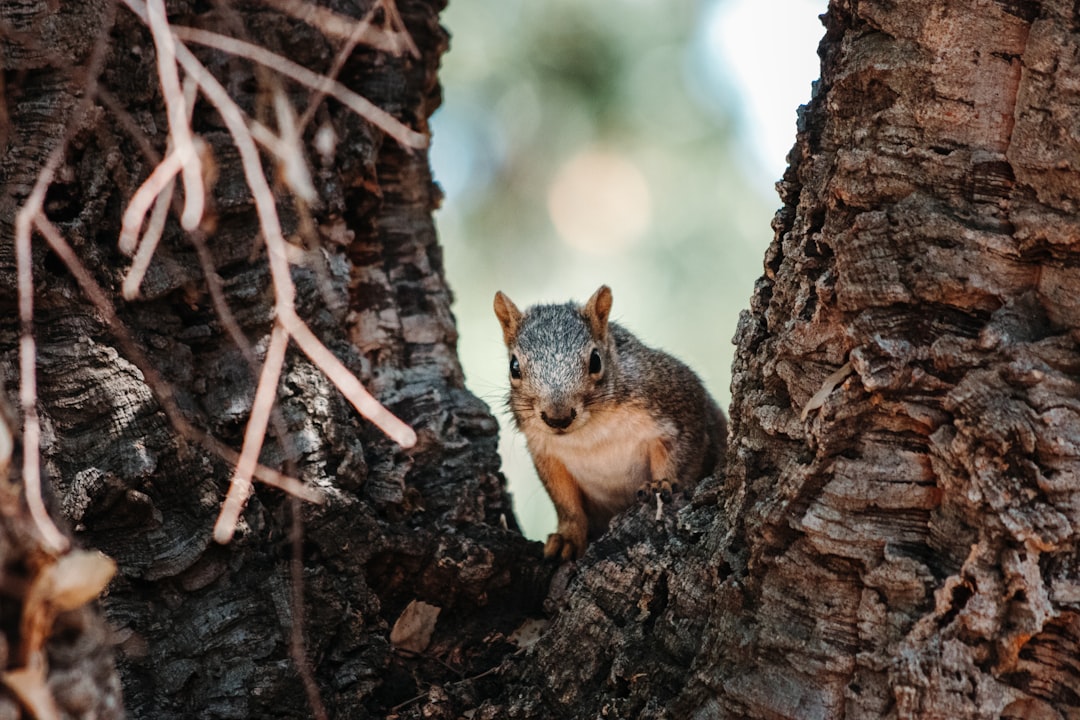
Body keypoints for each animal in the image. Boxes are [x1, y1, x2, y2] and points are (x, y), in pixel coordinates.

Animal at [494, 284, 730, 561]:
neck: (590, 432)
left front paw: (661, 483)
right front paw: (566, 538)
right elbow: (566, 503)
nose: (557, 418)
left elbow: (680, 457)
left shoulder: (679, 408)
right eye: (514, 367)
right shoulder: (547, 454)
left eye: (596, 360)